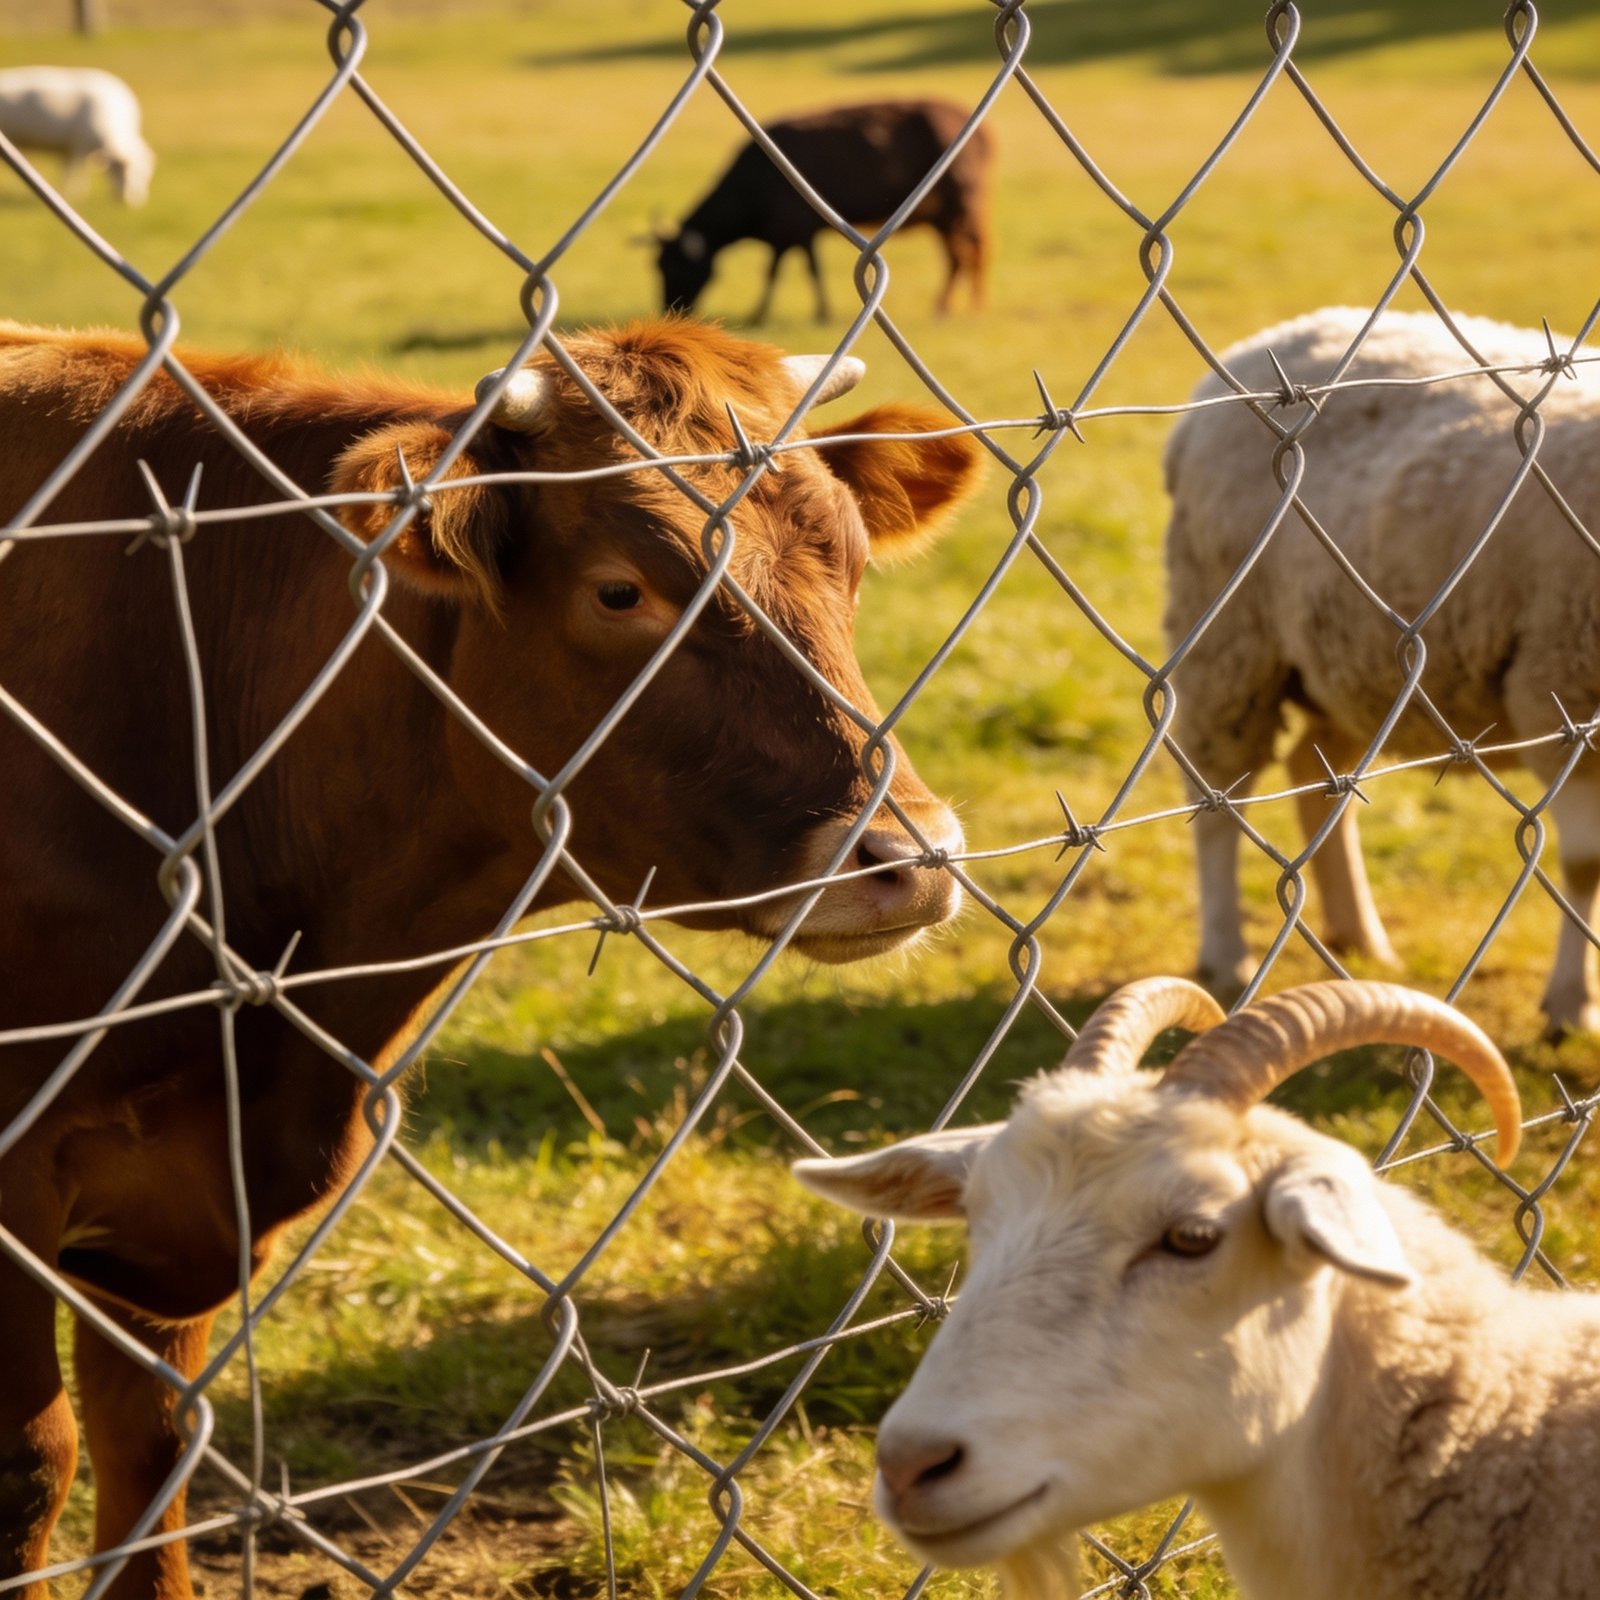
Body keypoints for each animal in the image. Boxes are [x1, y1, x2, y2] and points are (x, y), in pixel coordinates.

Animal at [0, 65, 155, 206]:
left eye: (143, 173)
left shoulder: (68, 149)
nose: (129, 200)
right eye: (117, 170)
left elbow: (67, 171)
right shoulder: (79, 148)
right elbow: (76, 172)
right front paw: (75, 195)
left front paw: (66, 192)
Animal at [653, 98, 994, 323]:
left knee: (967, 253)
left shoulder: (792, 228)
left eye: (674, 267)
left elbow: (784, 272)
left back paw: (954, 306)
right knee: (962, 255)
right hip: (944, 216)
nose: (667, 310)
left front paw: (762, 314)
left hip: (961, 207)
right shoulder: (796, 234)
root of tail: (984, 133)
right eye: (657, 266)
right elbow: (802, 269)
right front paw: (812, 310)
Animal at [1162, 306, 1600, 1035]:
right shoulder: (1561, 690)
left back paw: (1360, 938)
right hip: (1228, 636)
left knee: (1316, 777)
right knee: (1220, 797)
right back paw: (1226, 956)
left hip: (1348, 658)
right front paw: (1573, 1004)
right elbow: (1585, 864)